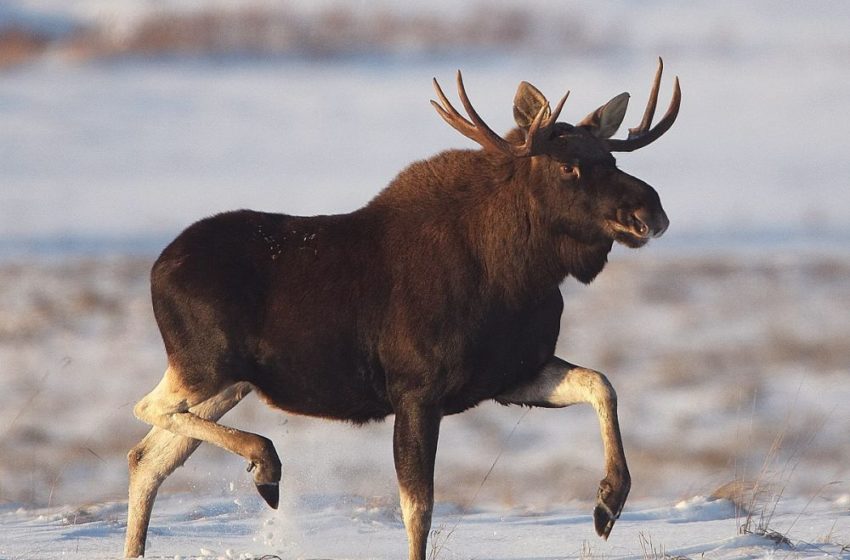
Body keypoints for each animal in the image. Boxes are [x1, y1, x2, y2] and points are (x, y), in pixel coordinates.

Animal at [126, 59, 680, 556]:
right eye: (568, 166)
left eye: (612, 159)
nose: (650, 211)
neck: (518, 276)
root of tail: (157, 268)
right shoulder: (416, 391)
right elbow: (418, 511)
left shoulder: (510, 376)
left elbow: (601, 384)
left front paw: (608, 501)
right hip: (204, 365)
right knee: (147, 411)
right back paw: (266, 464)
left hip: (228, 383)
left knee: (147, 458)